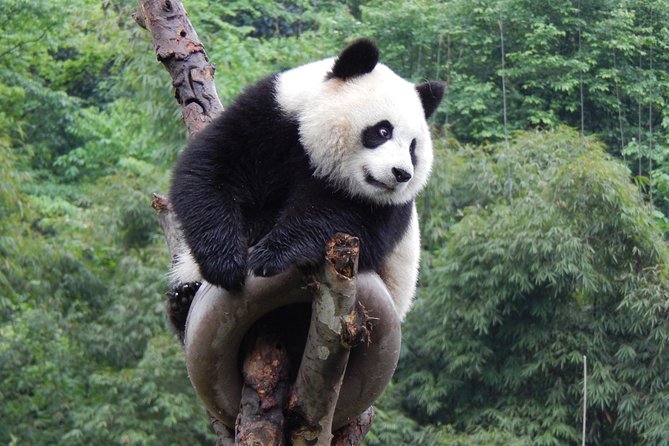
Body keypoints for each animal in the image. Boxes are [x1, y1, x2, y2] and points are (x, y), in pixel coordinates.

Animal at [167, 39, 443, 335]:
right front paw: (225, 262)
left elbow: (344, 222)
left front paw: (272, 255)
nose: (402, 173)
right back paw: (183, 300)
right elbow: (210, 168)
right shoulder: (272, 113)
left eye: (413, 147)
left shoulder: (384, 208)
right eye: (383, 131)